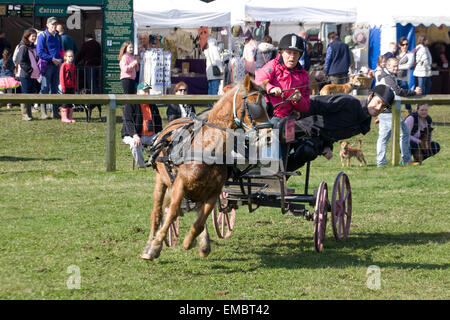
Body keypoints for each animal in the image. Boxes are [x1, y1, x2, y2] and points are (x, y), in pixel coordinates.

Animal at [140, 75, 270, 260]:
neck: (208, 147)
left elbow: (201, 221)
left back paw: (202, 242)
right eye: (253, 106)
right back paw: (150, 243)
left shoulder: (214, 193)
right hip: (161, 180)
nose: (268, 136)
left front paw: (192, 241)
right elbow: (172, 212)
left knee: (198, 212)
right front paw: (155, 246)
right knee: (157, 212)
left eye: (267, 106)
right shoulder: (179, 184)